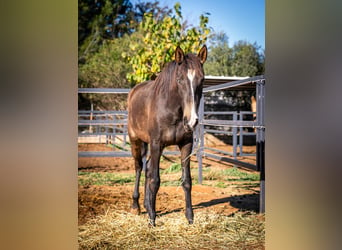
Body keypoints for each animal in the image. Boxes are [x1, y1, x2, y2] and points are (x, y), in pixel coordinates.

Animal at [127, 45, 207, 227]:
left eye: (202, 80)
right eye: (179, 79)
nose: (191, 121)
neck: (172, 111)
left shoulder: (186, 145)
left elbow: (186, 181)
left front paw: (190, 218)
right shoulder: (157, 144)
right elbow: (155, 181)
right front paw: (152, 220)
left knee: (147, 170)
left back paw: (147, 205)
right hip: (136, 141)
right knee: (139, 167)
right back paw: (136, 206)